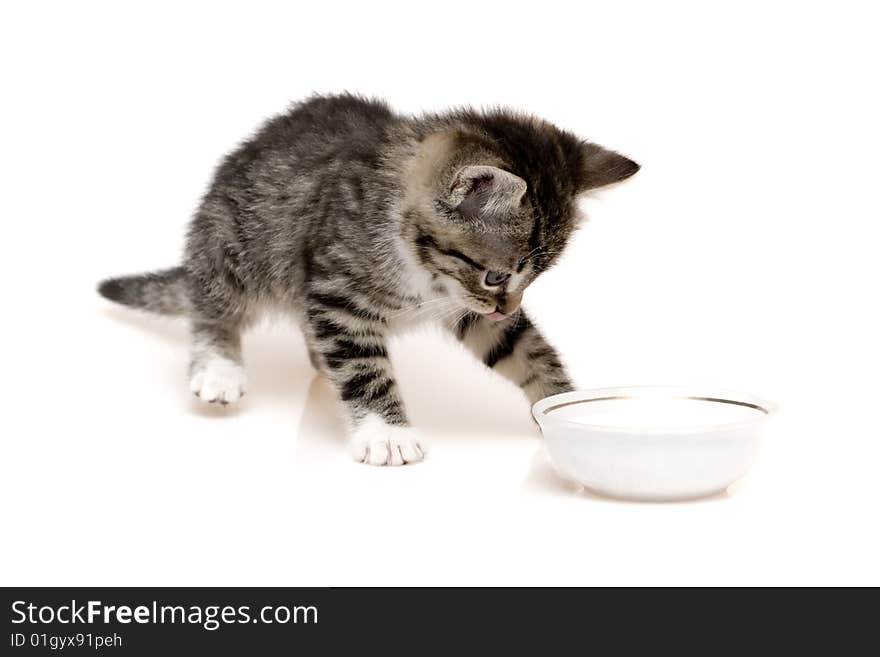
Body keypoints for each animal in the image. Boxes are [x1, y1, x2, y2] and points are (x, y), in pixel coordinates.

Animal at [99, 93, 640, 466]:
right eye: (495, 275)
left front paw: (567, 406)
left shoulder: (463, 305)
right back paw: (218, 367)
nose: (505, 305)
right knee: (214, 304)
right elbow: (363, 366)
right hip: (233, 243)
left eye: (534, 277)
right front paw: (387, 433)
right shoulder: (338, 292)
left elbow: (522, 347)